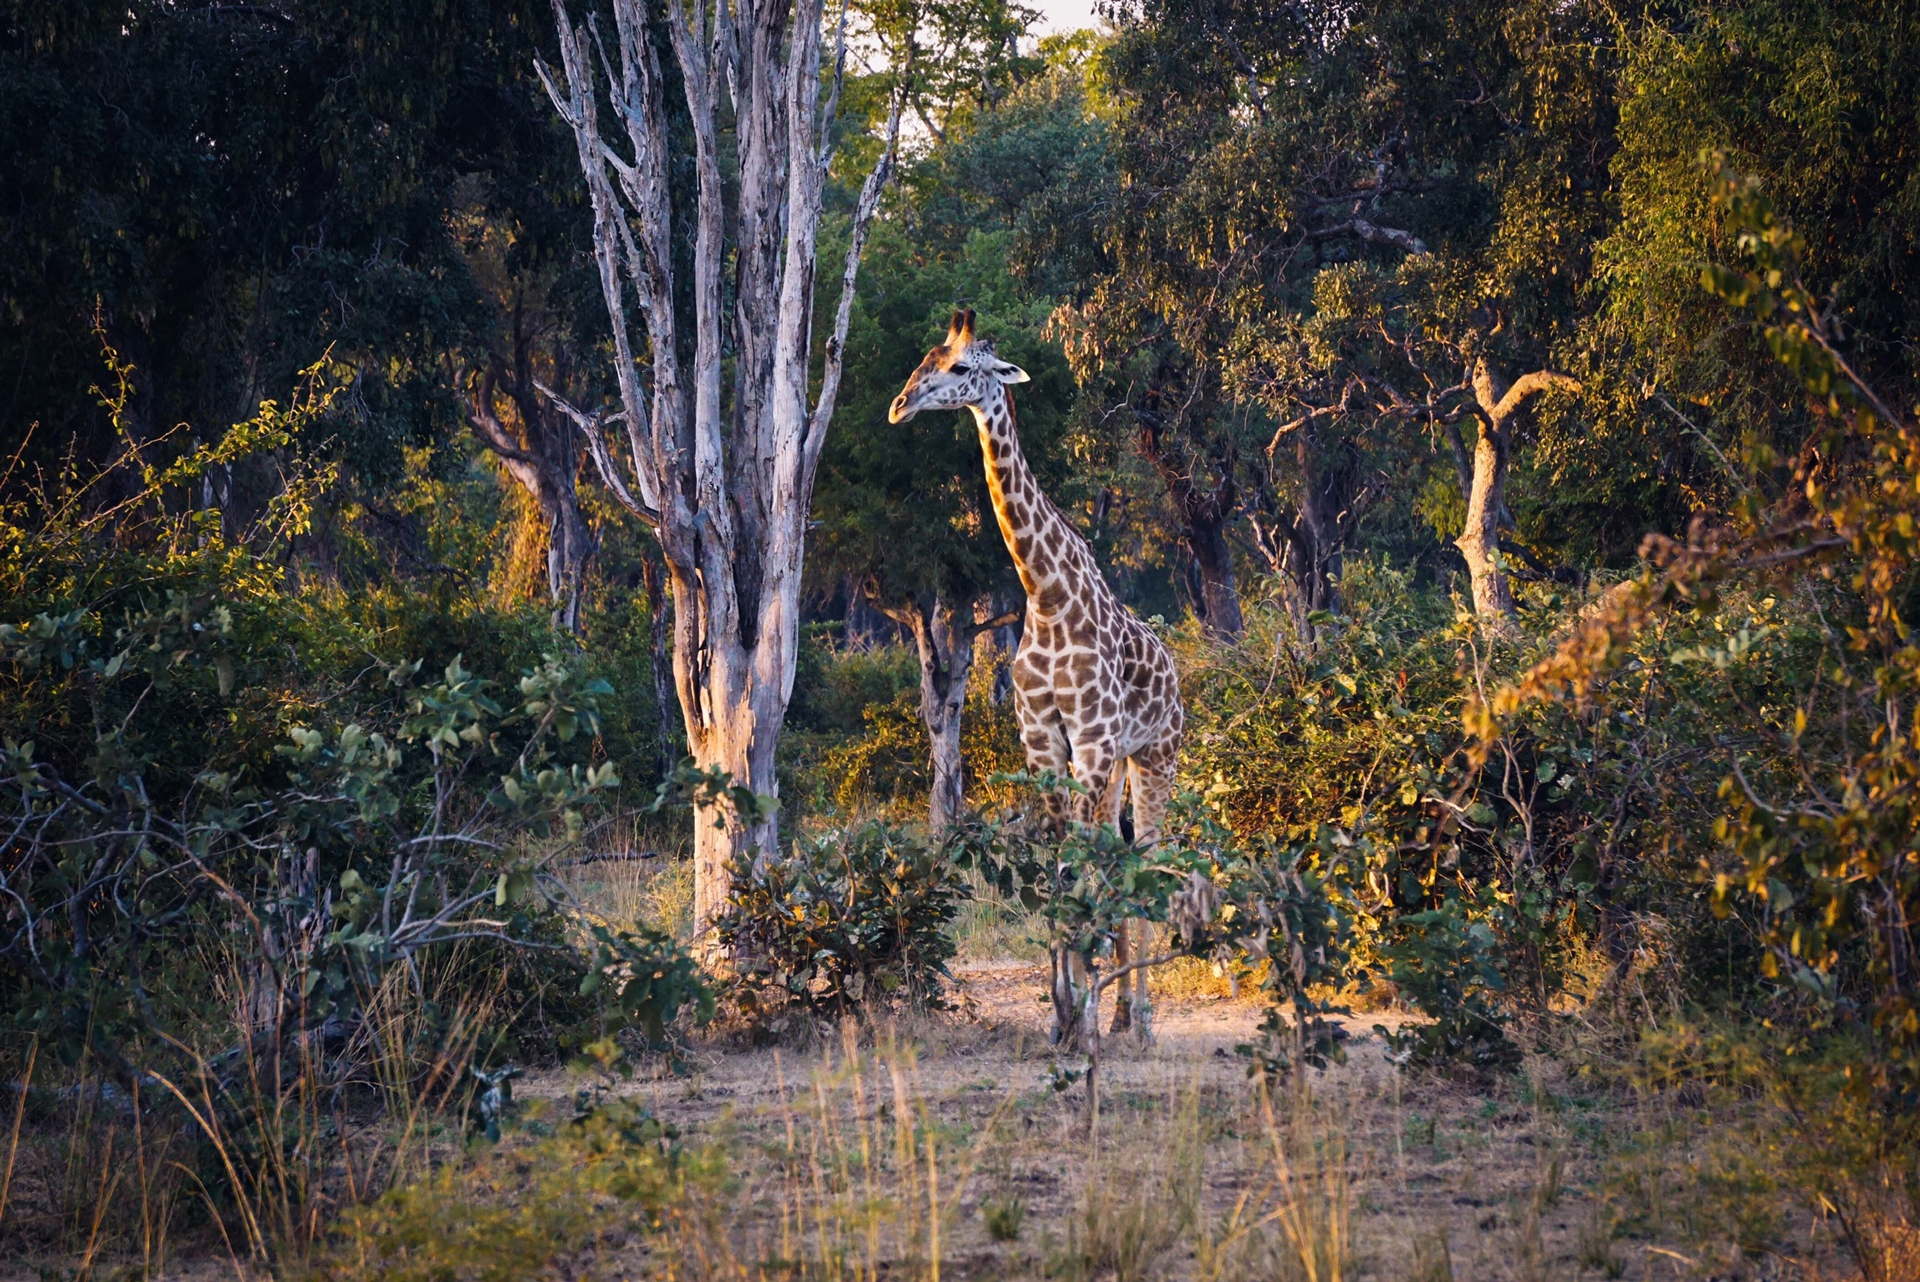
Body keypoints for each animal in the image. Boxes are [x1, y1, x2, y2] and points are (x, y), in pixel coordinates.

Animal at [889, 309, 1185, 1046]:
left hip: (1154, 756)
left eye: (960, 368)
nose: (899, 405)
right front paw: (1063, 1013)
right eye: (925, 358)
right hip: (1116, 762)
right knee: (1115, 854)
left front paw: (1079, 1012)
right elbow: (1059, 866)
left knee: (1147, 858)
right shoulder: (1047, 740)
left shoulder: (1092, 740)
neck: (1046, 595)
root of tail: (1176, 674)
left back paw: (1140, 1020)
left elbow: (1079, 869)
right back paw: (1116, 1009)